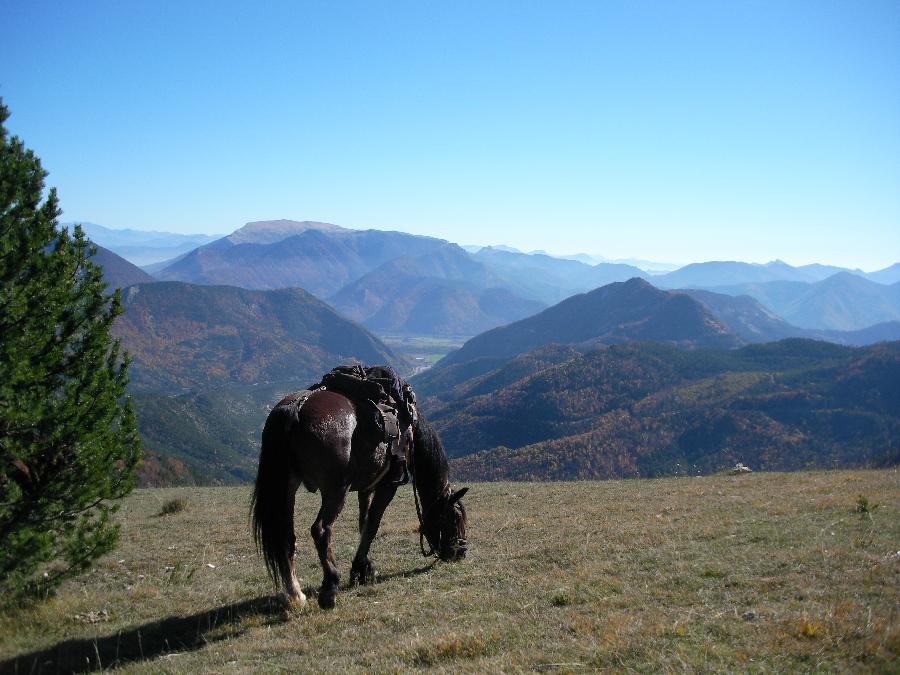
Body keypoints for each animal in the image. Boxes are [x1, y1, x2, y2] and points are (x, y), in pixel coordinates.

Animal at [248, 386, 468, 612]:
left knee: (286, 537)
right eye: (454, 518)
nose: (460, 552)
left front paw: (364, 568)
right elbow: (373, 525)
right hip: (336, 490)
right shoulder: (388, 485)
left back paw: (296, 594)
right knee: (321, 530)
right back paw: (329, 588)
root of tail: (297, 407)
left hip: (288, 489)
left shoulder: (367, 487)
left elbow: (364, 523)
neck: (409, 430)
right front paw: (359, 568)